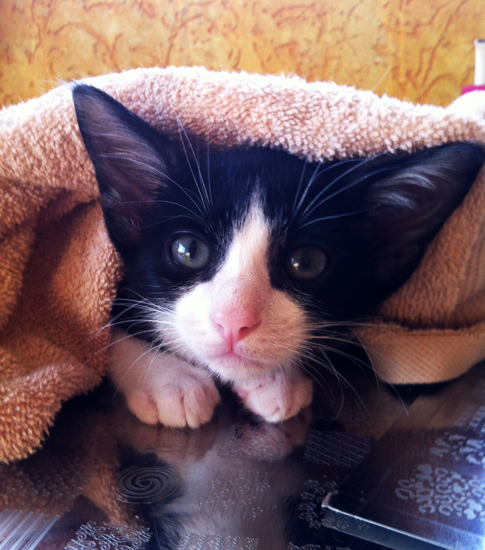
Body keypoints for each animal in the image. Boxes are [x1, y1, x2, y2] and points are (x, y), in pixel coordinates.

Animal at [72, 84, 484, 429]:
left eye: (307, 263)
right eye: (188, 250)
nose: (234, 321)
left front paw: (277, 381)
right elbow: (98, 336)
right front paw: (170, 381)